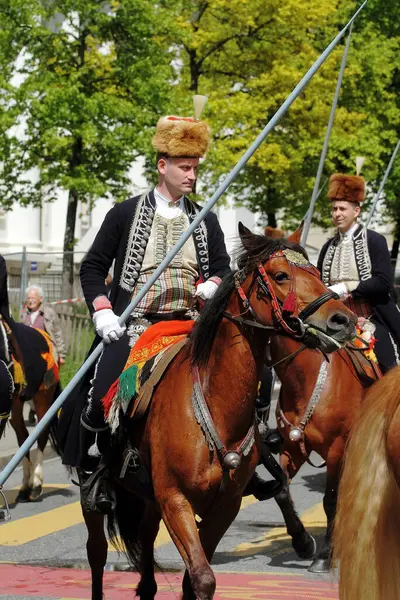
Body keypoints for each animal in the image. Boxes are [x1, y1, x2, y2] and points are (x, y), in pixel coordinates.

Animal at [79, 225, 354, 600]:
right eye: (281, 275)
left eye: (315, 270)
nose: (343, 320)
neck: (215, 405)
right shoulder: (175, 500)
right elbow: (202, 577)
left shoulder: (224, 505)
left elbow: (193, 579)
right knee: (96, 553)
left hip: (148, 501)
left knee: (146, 557)